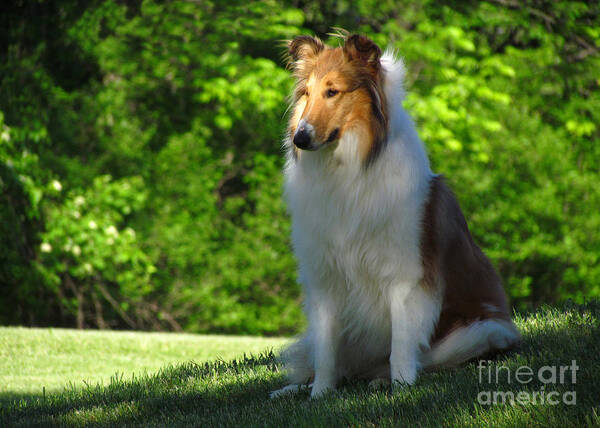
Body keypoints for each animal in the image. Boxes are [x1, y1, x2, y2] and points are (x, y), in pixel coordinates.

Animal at [272, 32, 520, 398]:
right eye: (307, 93)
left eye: (333, 91)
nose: (299, 138)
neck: (347, 168)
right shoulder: (324, 276)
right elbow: (326, 351)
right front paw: (320, 394)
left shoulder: (404, 275)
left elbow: (401, 343)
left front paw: (402, 389)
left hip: (482, 332)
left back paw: (381, 380)